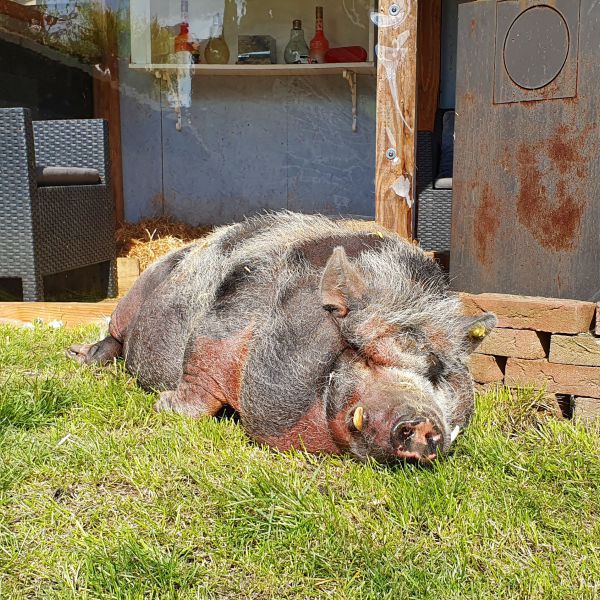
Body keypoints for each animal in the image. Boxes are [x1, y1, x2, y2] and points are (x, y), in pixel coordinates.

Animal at [67, 212, 496, 464]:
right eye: (362, 351)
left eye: (438, 373)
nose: (424, 423)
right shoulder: (220, 328)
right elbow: (200, 384)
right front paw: (164, 406)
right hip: (130, 300)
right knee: (112, 338)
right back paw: (79, 356)